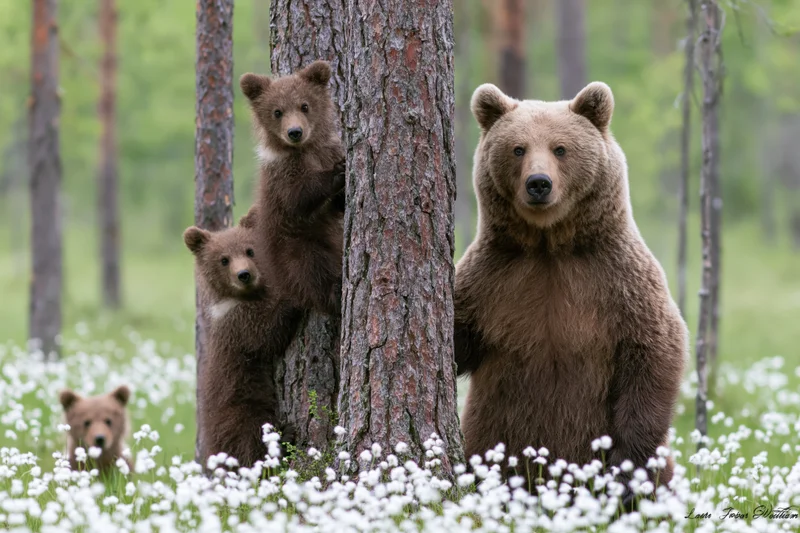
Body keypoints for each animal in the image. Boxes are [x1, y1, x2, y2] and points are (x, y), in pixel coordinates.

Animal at [184, 218, 301, 468]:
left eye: (250, 250)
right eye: (224, 259)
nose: (244, 274)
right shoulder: (238, 325)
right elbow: (267, 333)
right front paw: (294, 296)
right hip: (239, 405)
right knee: (251, 439)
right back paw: (283, 438)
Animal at [239, 60, 345, 315]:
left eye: (304, 105)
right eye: (277, 111)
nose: (295, 132)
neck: (306, 150)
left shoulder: (327, 150)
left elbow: (337, 206)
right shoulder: (281, 176)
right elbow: (298, 196)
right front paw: (337, 173)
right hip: (293, 244)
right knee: (310, 269)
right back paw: (333, 293)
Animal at [454, 82, 687, 500]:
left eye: (560, 148)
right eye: (518, 148)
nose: (538, 183)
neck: (548, 245)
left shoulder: (617, 279)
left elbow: (654, 349)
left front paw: (626, 470)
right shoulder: (493, 279)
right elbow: (460, 337)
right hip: (486, 436)